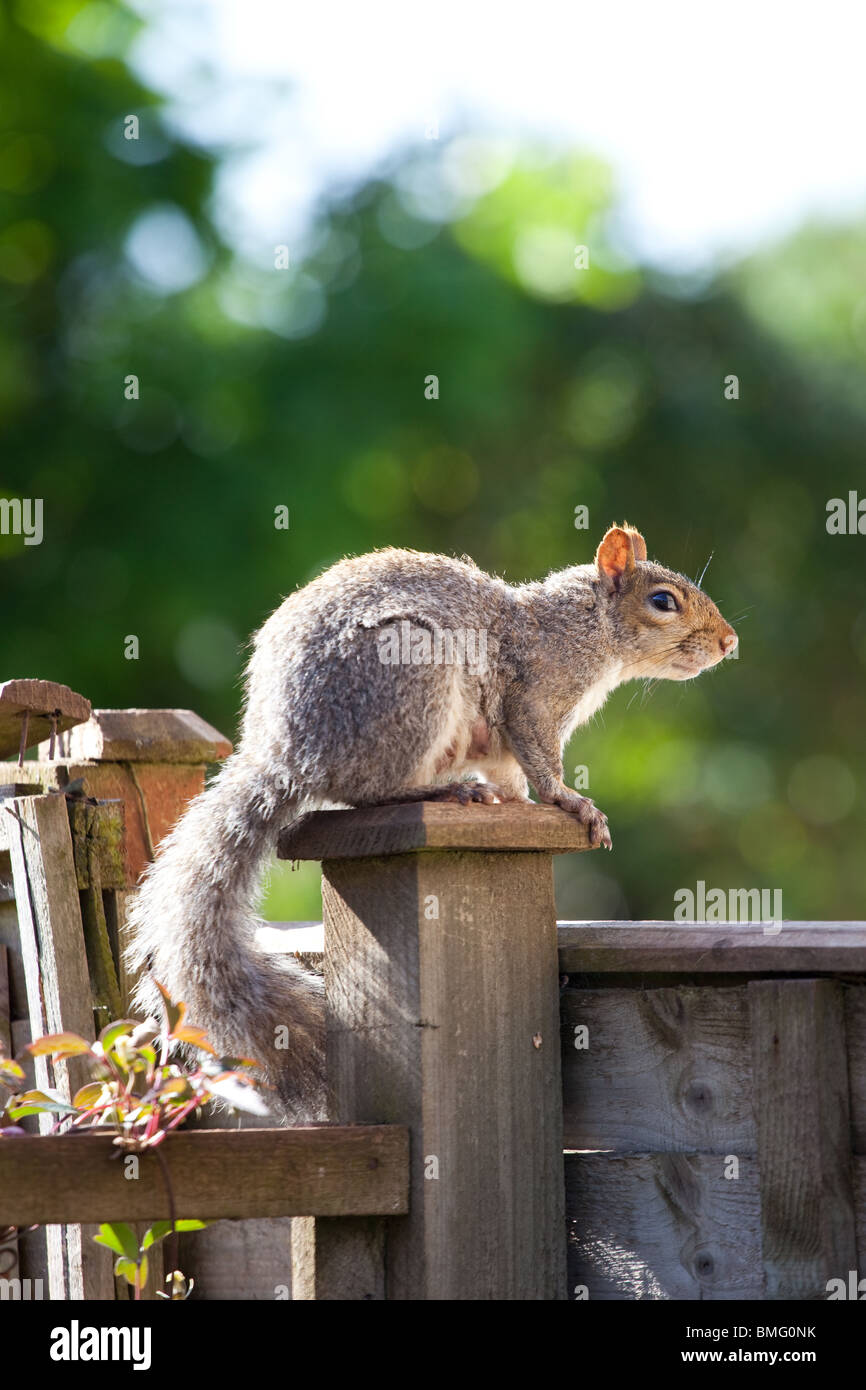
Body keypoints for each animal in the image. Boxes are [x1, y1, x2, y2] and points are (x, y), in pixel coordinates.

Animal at [128, 522, 739, 1117]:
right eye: (663, 601)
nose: (729, 641)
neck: (585, 625)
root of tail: (287, 753)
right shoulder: (533, 700)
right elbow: (543, 764)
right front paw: (571, 801)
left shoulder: (500, 744)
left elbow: (512, 777)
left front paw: (521, 803)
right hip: (411, 679)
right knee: (369, 790)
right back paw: (447, 789)